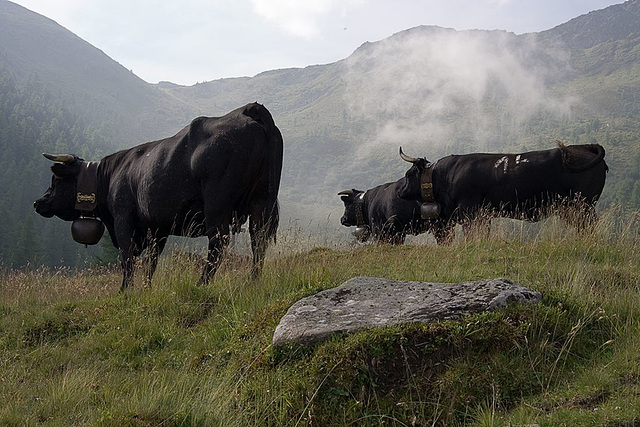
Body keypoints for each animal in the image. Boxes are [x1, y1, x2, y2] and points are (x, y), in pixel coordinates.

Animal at [34, 103, 282, 290]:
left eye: (56, 181)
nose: (38, 202)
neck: (110, 175)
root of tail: (247, 109)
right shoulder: (158, 228)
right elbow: (150, 262)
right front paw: (146, 288)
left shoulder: (123, 220)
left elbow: (127, 258)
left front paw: (125, 290)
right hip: (261, 201)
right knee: (258, 240)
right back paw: (253, 281)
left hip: (217, 204)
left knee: (219, 242)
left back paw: (202, 284)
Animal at [398, 142, 608, 242]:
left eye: (408, 174)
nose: (400, 191)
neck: (447, 175)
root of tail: (585, 146)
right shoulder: (483, 215)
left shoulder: (468, 211)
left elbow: (470, 234)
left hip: (582, 206)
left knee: (589, 226)